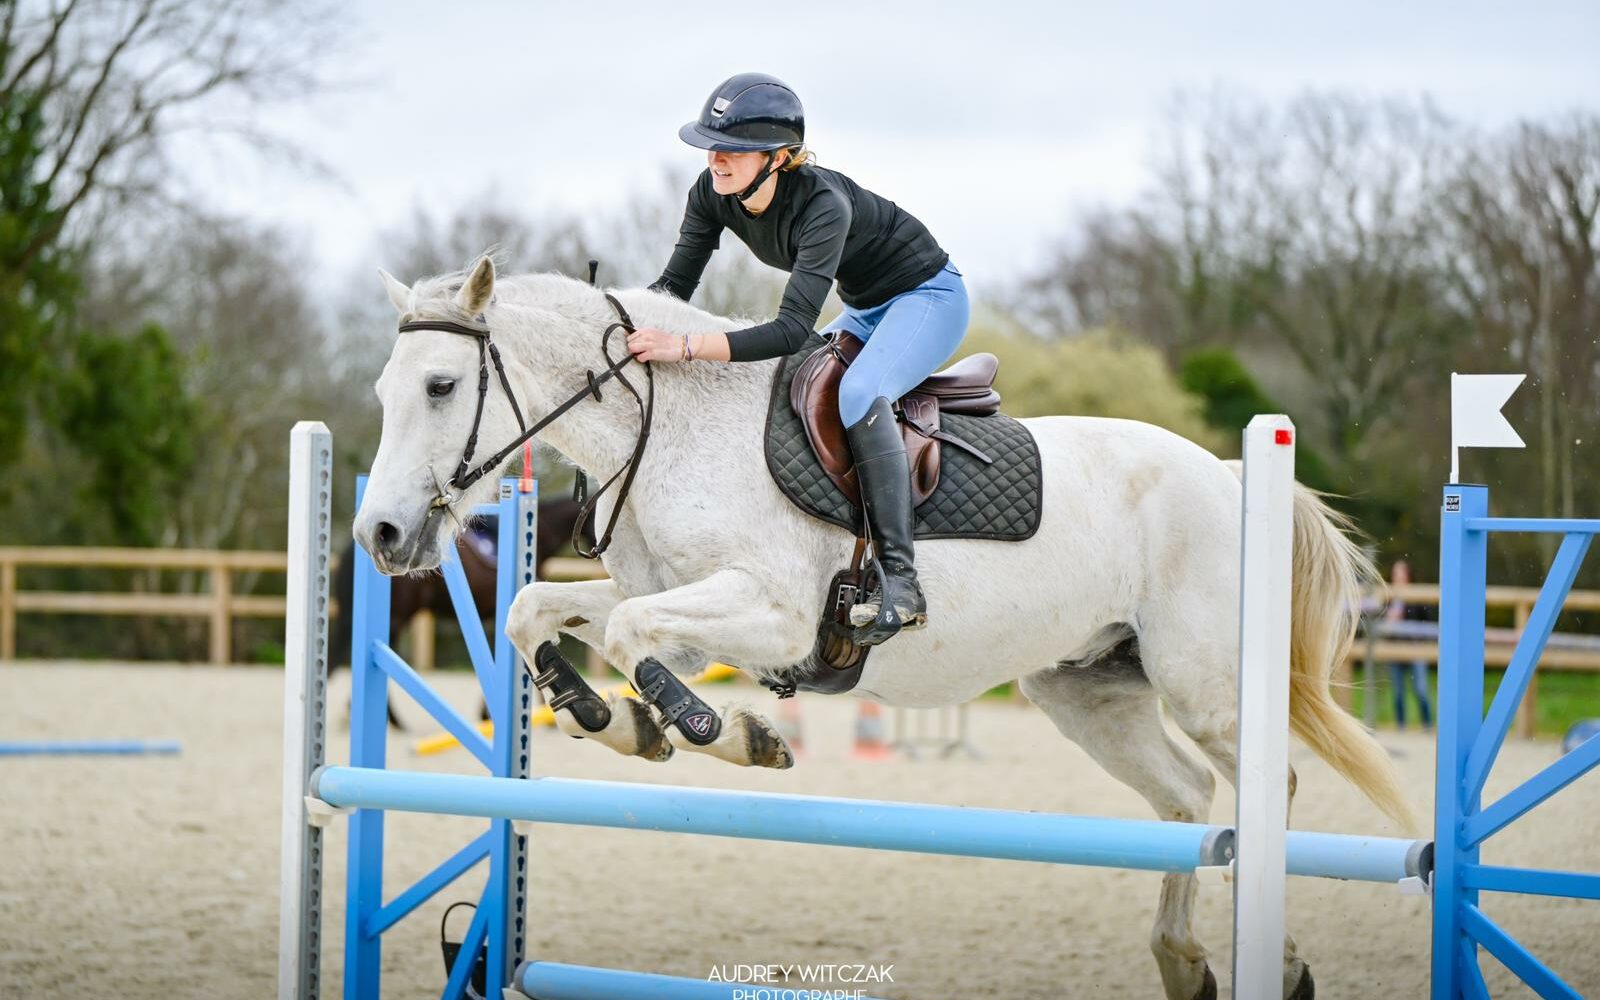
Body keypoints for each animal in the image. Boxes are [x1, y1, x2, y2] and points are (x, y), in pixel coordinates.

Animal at [356, 251, 1408, 998]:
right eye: (382, 394)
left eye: (441, 387)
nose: (380, 535)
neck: (675, 428)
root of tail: (1226, 472)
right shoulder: (687, 610)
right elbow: (541, 613)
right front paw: (611, 720)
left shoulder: (774, 614)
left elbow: (629, 642)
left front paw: (719, 732)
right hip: (1087, 688)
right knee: (1188, 800)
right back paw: (1183, 960)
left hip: (1206, 686)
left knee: (1266, 788)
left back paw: (1279, 965)